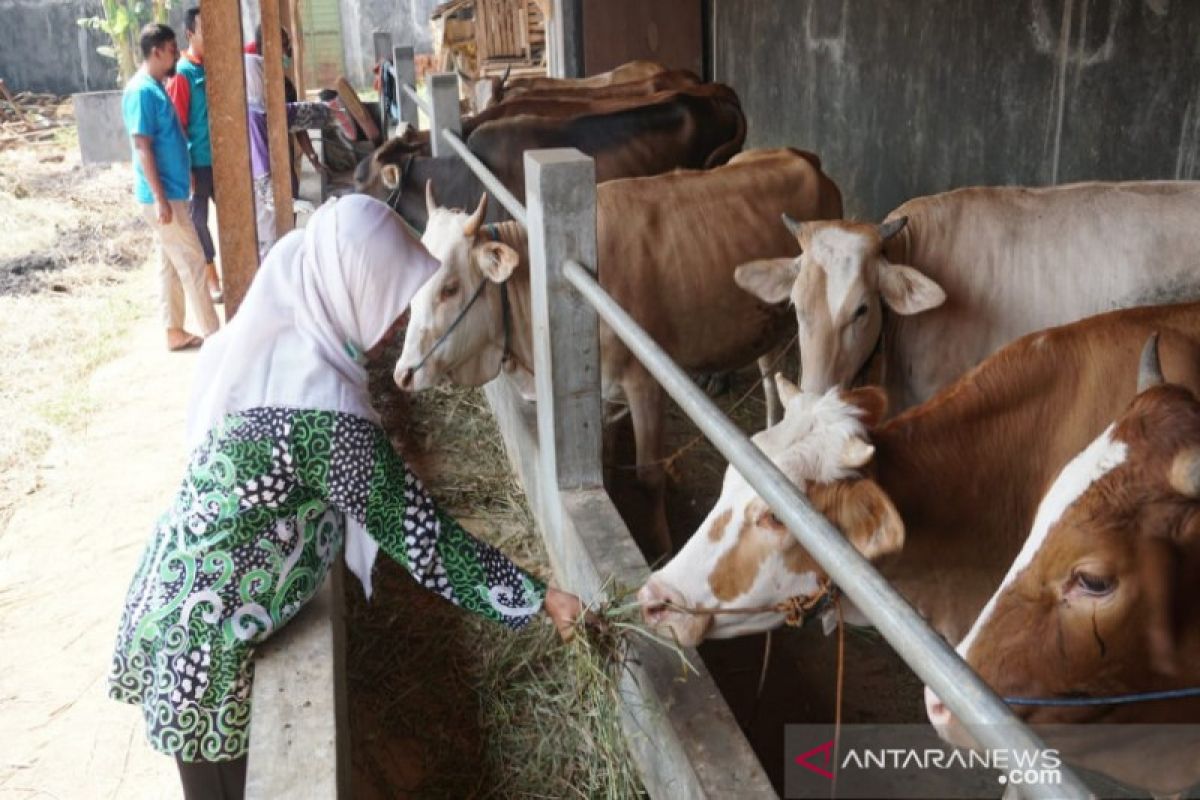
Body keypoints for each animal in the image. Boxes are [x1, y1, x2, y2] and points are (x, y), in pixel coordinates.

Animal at [396, 148, 844, 551]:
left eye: (450, 287)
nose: (403, 373)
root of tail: (806, 159)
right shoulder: (604, 391)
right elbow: (606, 456)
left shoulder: (645, 383)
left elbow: (649, 475)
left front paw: (660, 545)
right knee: (769, 375)